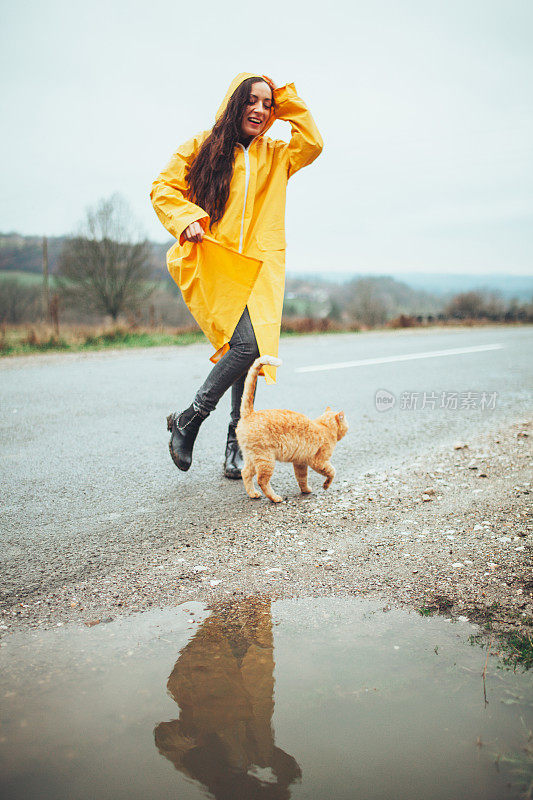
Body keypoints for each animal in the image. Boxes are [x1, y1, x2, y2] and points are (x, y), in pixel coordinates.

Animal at [237, 354, 350, 504]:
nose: (348, 427)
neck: (324, 427)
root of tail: (250, 413)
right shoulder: (318, 461)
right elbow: (332, 472)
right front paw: (326, 486)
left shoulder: (300, 462)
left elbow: (302, 478)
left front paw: (305, 490)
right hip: (266, 459)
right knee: (262, 480)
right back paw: (275, 498)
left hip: (251, 458)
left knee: (245, 473)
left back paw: (253, 494)